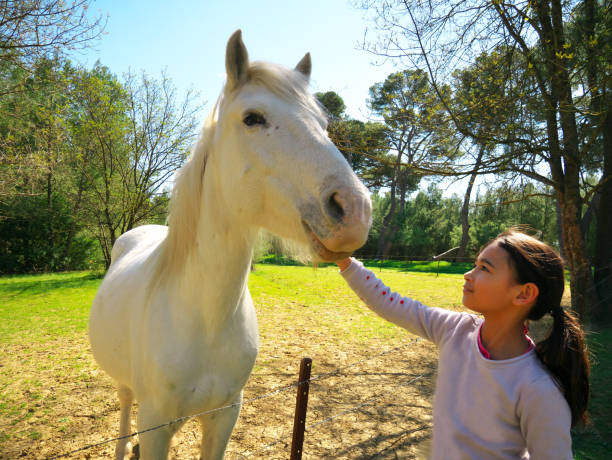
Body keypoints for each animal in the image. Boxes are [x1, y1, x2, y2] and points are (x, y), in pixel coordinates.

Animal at [88, 30, 370, 458]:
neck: (204, 318)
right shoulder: (155, 425)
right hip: (125, 388)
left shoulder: (224, 415)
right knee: (123, 412)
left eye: (323, 123)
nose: (355, 210)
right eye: (252, 118)